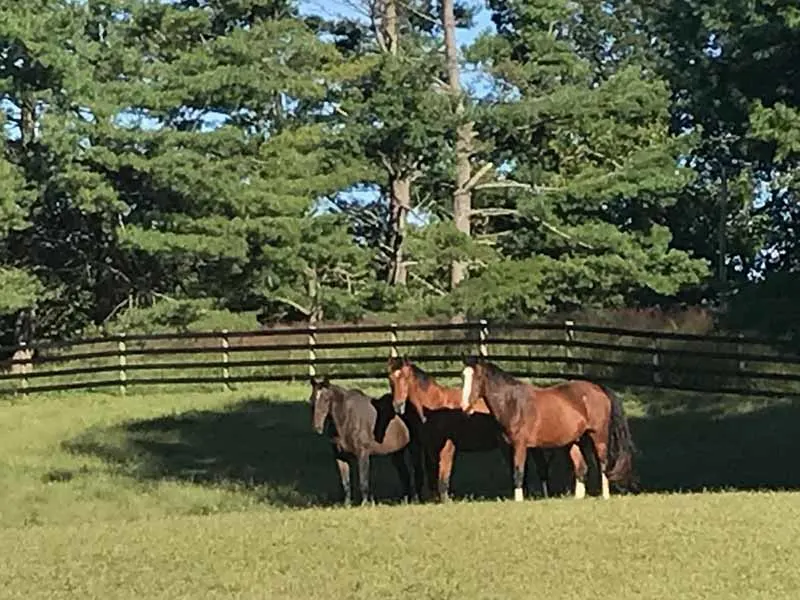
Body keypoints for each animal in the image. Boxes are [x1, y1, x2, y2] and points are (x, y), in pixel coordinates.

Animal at [388, 356, 576, 502]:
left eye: (405, 377)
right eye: (390, 379)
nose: (398, 406)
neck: (435, 407)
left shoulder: (448, 448)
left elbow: (443, 478)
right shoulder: (430, 449)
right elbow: (433, 477)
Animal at [456, 356, 636, 502]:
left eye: (478, 377)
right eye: (463, 376)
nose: (464, 407)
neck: (513, 404)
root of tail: (598, 388)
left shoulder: (521, 446)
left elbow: (519, 472)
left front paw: (519, 500)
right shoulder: (510, 447)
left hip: (598, 436)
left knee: (603, 463)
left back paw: (605, 495)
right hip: (576, 441)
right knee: (581, 468)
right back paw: (577, 498)